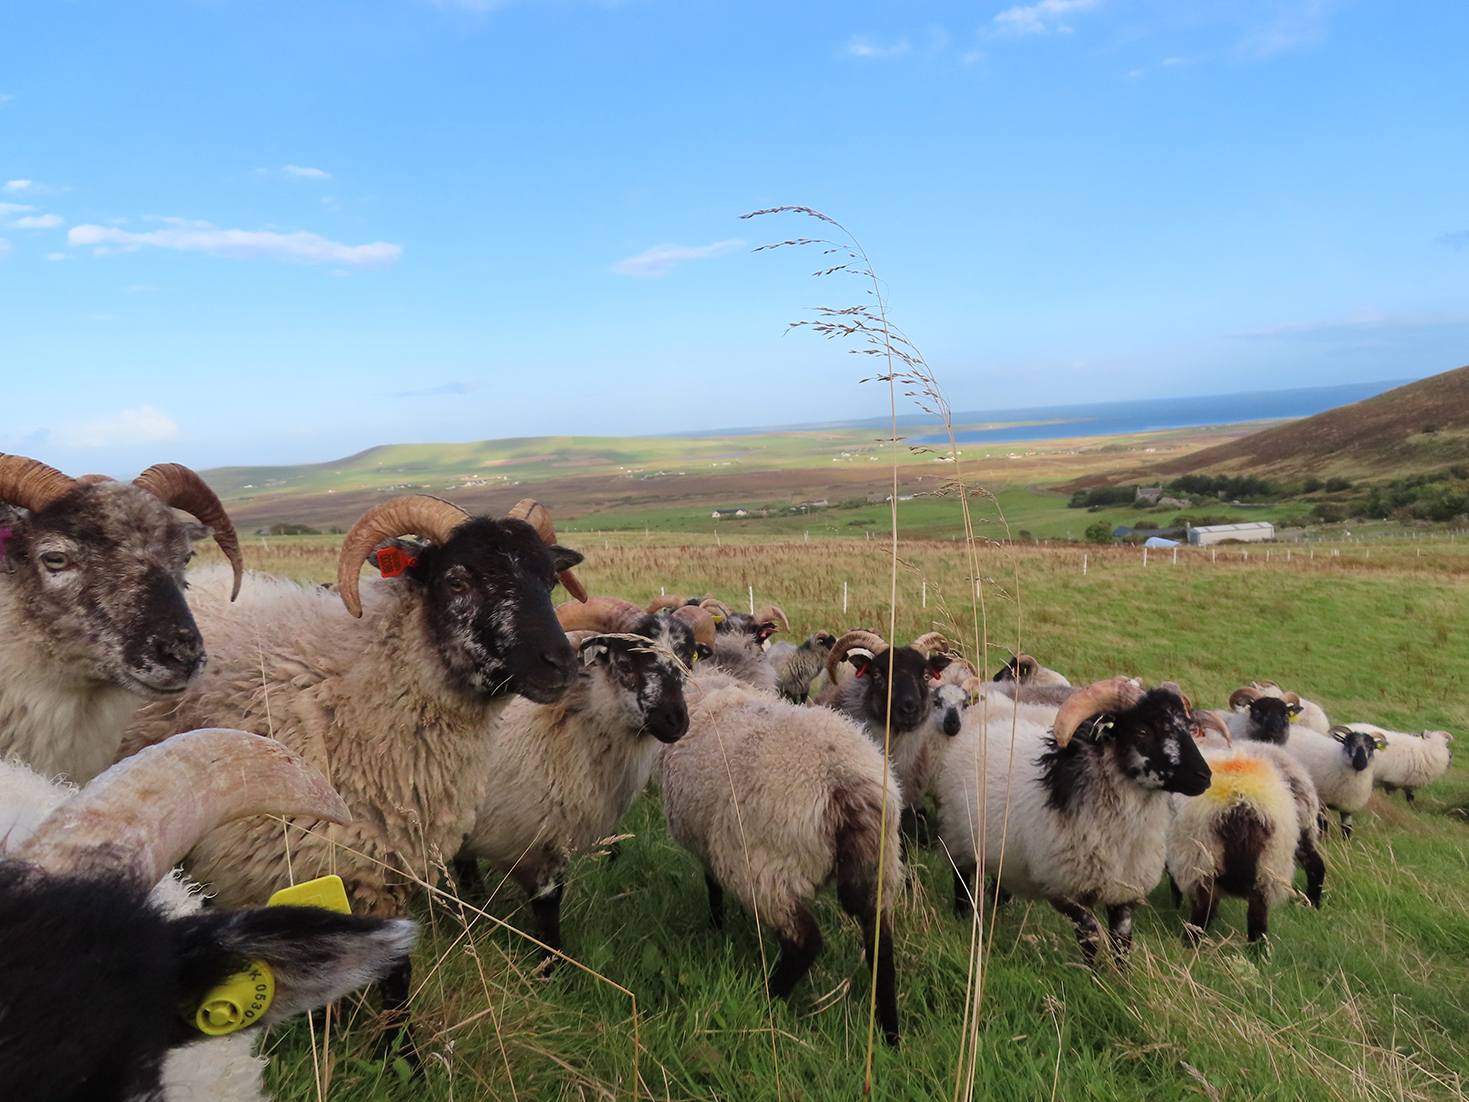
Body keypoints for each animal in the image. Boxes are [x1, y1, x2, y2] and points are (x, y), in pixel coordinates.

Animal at [449, 596, 696, 963]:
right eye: (625, 662)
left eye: (686, 662)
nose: (676, 721)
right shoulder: (537, 840)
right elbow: (549, 905)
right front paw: (553, 965)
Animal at [658, 672, 904, 1046]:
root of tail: (844, 783)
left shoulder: (709, 843)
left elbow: (712, 886)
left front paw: (716, 925)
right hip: (882, 865)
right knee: (881, 947)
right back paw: (891, 1035)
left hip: (762, 866)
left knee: (804, 941)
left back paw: (768, 998)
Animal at [940, 678, 1216, 963]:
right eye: (1142, 731)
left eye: (1187, 729)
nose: (1204, 776)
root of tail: (993, 708)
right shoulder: (1067, 888)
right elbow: (1091, 936)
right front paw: (1093, 971)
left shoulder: (1125, 890)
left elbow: (1122, 941)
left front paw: (1119, 974)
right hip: (957, 833)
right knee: (960, 876)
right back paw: (962, 914)